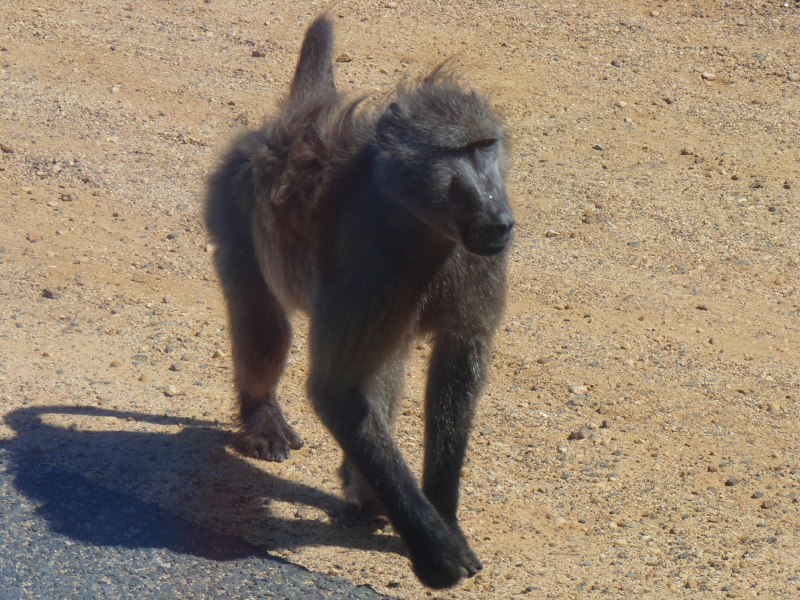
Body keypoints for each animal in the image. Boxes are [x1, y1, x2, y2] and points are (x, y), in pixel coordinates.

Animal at [204, 15, 514, 589]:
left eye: (487, 146)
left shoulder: (476, 261)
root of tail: (289, 119)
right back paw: (262, 419)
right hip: (230, 209)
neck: (423, 222)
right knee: (267, 329)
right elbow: (335, 389)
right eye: (458, 153)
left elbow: (457, 362)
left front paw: (442, 512)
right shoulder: (367, 268)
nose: (500, 219)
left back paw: (363, 486)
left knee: (383, 362)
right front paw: (435, 550)